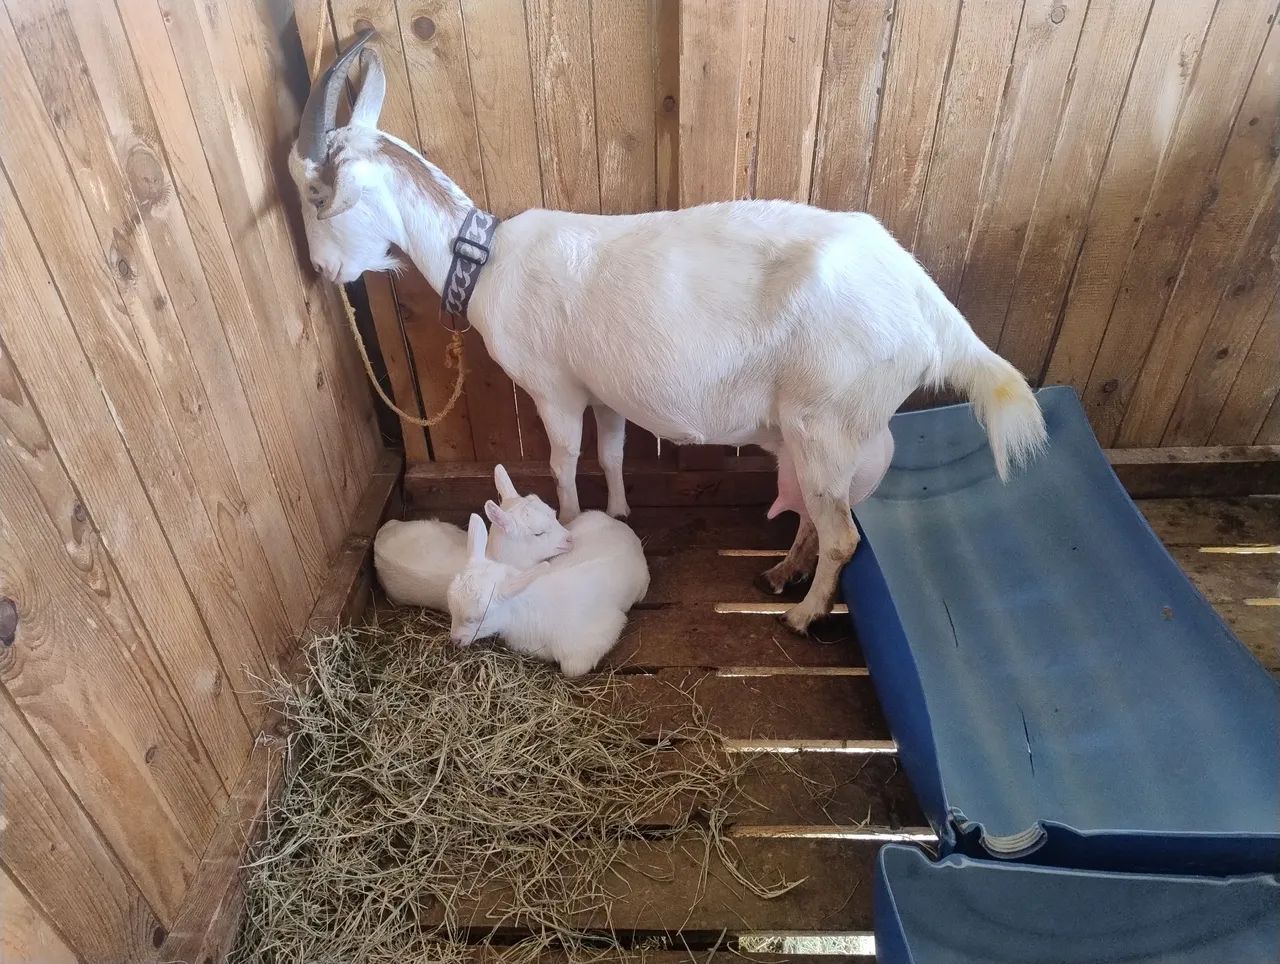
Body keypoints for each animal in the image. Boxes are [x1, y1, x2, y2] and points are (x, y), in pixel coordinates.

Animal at [289, 33, 1047, 636]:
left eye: (315, 195)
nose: (323, 270)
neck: (485, 260)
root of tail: (925, 300)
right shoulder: (603, 391)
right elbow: (614, 453)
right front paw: (622, 514)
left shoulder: (555, 388)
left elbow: (563, 462)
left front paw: (570, 524)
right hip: (818, 430)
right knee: (816, 508)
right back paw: (780, 574)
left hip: (829, 416)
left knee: (842, 535)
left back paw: (803, 614)